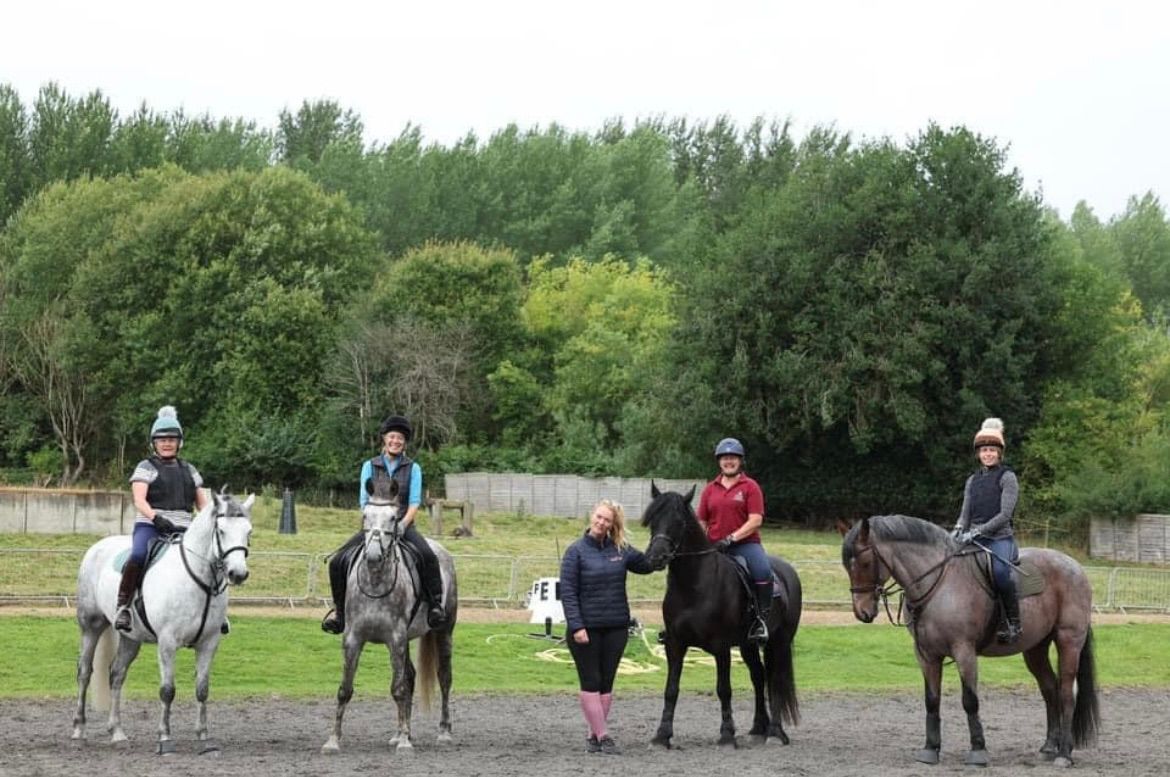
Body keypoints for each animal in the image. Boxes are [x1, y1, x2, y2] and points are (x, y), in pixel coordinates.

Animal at [71, 486, 253, 753]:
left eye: (248, 532)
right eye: (221, 531)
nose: (238, 574)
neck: (199, 581)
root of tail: (98, 546)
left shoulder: (209, 643)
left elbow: (202, 689)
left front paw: (203, 736)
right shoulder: (167, 642)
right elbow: (167, 690)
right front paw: (165, 737)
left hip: (130, 638)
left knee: (117, 675)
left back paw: (117, 731)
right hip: (91, 626)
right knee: (85, 672)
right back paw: (79, 728)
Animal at [327, 472, 463, 753]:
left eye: (393, 517)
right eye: (365, 515)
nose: (373, 555)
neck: (375, 582)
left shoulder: (396, 638)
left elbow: (398, 689)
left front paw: (404, 743)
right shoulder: (353, 639)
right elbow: (345, 689)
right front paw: (333, 740)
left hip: (444, 632)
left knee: (444, 678)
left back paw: (443, 732)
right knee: (411, 676)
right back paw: (404, 732)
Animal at [641, 486, 804, 748]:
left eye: (679, 522)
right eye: (653, 520)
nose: (656, 557)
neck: (694, 585)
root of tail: (788, 571)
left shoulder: (721, 646)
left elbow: (724, 689)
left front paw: (727, 735)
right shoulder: (675, 644)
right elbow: (671, 689)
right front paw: (661, 736)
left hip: (779, 642)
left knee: (775, 680)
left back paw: (775, 733)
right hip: (748, 646)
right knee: (759, 676)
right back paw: (758, 728)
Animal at [842, 514, 1095, 762]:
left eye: (865, 563)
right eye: (847, 566)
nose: (862, 612)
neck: (940, 584)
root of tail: (1075, 566)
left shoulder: (964, 651)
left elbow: (970, 700)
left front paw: (978, 750)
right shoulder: (926, 655)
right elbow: (932, 700)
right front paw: (931, 749)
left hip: (1068, 640)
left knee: (1066, 692)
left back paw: (1064, 753)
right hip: (1035, 648)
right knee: (1050, 689)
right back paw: (1049, 747)